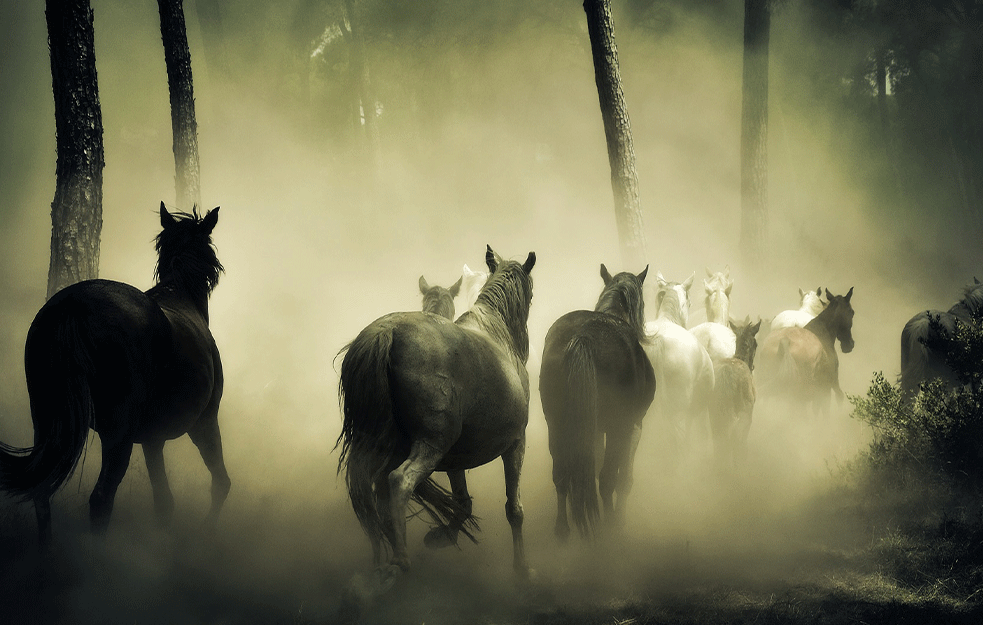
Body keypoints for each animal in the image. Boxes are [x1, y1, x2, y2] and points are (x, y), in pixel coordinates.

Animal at [0, 202, 229, 544]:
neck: (180, 294)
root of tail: (72, 304)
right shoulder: (204, 422)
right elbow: (220, 484)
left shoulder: (153, 439)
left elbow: (164, 502)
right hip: (118, 435)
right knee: (101, 499)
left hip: (46, 420)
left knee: (42, 494)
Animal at [338, 245, 540, 576]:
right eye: (532, 294)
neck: (497, 333)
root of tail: (386, 333)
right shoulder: (515, 444)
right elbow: (514, 509)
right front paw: (522, 570)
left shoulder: (457, 457)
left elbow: (463, 502)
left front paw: (441, 536)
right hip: (431, 445)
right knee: (398, 481)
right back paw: (400, 561)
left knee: (368, 496)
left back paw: (379, 564)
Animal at [540, 262, 656, 536]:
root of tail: (584, 336)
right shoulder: (633, 425)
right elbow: (624, 478)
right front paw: (620, 518)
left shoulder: (592, 429)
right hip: (616, 427)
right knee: (607, 479)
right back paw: (610, 528)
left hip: (557, 425)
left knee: (561, 474)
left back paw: (562, 529)